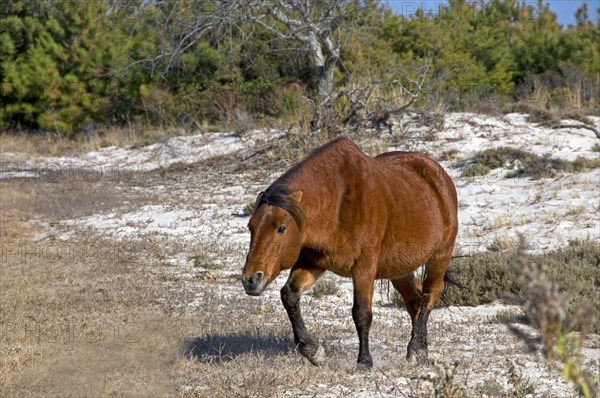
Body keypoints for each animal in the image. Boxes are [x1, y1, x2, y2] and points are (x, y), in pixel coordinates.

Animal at [241, 138, 458, 368]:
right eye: (251, 227)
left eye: (281, 228)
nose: (251, 279)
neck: (337, 201)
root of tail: (438, 175)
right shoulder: (313, 261)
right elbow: (289, 295)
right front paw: (312, 350)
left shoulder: (364, 266)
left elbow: (361, 313)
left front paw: (364, 360)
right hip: (399, 269)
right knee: (415, 301)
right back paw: (419, 349)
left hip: (440, 255)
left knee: (429, 296)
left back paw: (417, 349)